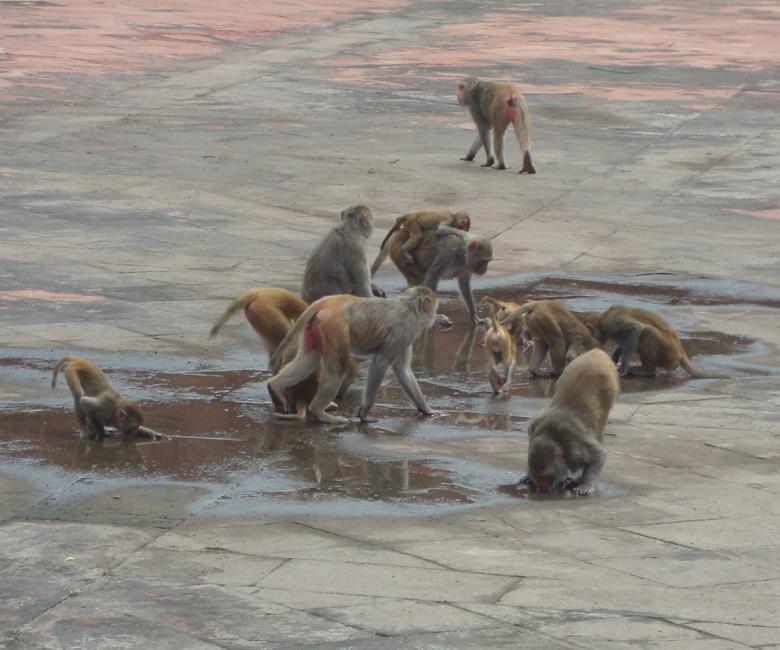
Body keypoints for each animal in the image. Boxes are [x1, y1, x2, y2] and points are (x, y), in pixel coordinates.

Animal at [268, 286, 437, 424]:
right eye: (434, 309)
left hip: (314, 327)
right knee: (338, 368)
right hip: (334, 325)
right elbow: (381, 363)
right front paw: (364, 412)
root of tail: (329, 301)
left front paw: (426, 409)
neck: (410, 307)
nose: (435, 316)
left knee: (308, 361)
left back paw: (274, 385)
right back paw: (319, 412)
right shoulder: (405, 330)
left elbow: (403, 370)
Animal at [522, 348, 619, 496]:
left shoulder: (576, 441)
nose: (541, 488)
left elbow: (599, 455)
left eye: (546, 477)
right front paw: (528, 476)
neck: (552, 436)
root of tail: (596, 352)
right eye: (538, 477)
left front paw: (586, 484)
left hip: (609, 386)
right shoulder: (532, 431)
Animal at [583, 305, 731, 379]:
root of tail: (680, 351)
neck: (603, 318)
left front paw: (623, 369)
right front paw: (614, 356)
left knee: (647, 332)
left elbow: (636, 329)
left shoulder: (612, 324)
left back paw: (647, 371)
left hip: (668, 354)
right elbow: (625, 341)